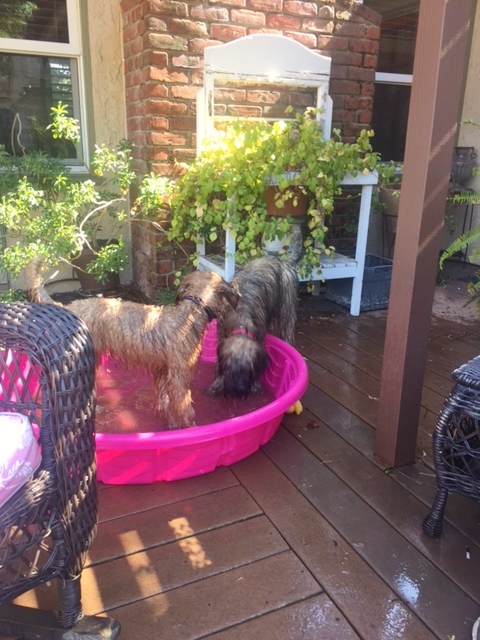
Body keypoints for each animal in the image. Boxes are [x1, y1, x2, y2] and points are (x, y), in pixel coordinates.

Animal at [26, 257, 239, 429]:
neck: (189, 315)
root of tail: (68, 307)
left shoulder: (163, 372)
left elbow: (166, 402)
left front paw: (171, 423)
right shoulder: (179, 377)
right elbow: (185, 408)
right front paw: (191, 428)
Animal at [207, 255, 298, 399]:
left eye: (247, 371)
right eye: (228, 369)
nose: (235, 391)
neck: (240, 318)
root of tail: (282, 261)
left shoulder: (259, 334)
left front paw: (255, 385)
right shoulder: (221, 334)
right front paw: (216, 384)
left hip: (286, 313)